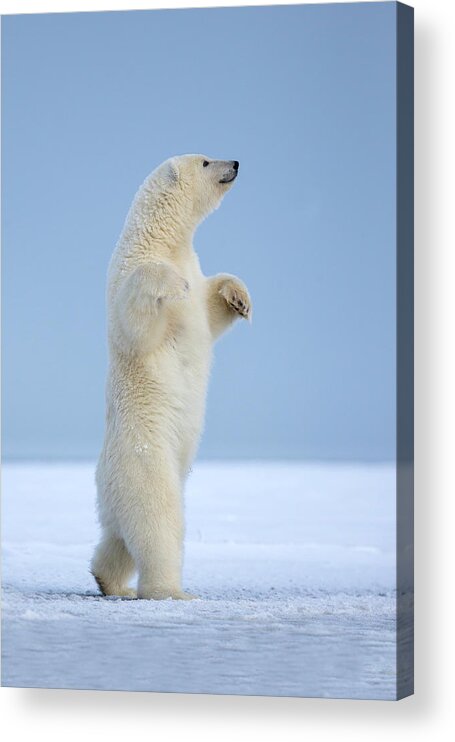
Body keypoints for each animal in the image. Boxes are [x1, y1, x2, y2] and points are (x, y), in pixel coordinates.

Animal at [91, 154, 251, 600]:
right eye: (206, 160)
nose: (235, 162)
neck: (163, 240)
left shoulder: (195, 270)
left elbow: (210, 307)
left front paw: (240, 298)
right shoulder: (128, 271)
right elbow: (138, 322)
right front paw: (170, 283)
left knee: (118, 537)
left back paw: (109, 580)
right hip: (146, 458)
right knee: (158, 523)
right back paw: (171, 590)